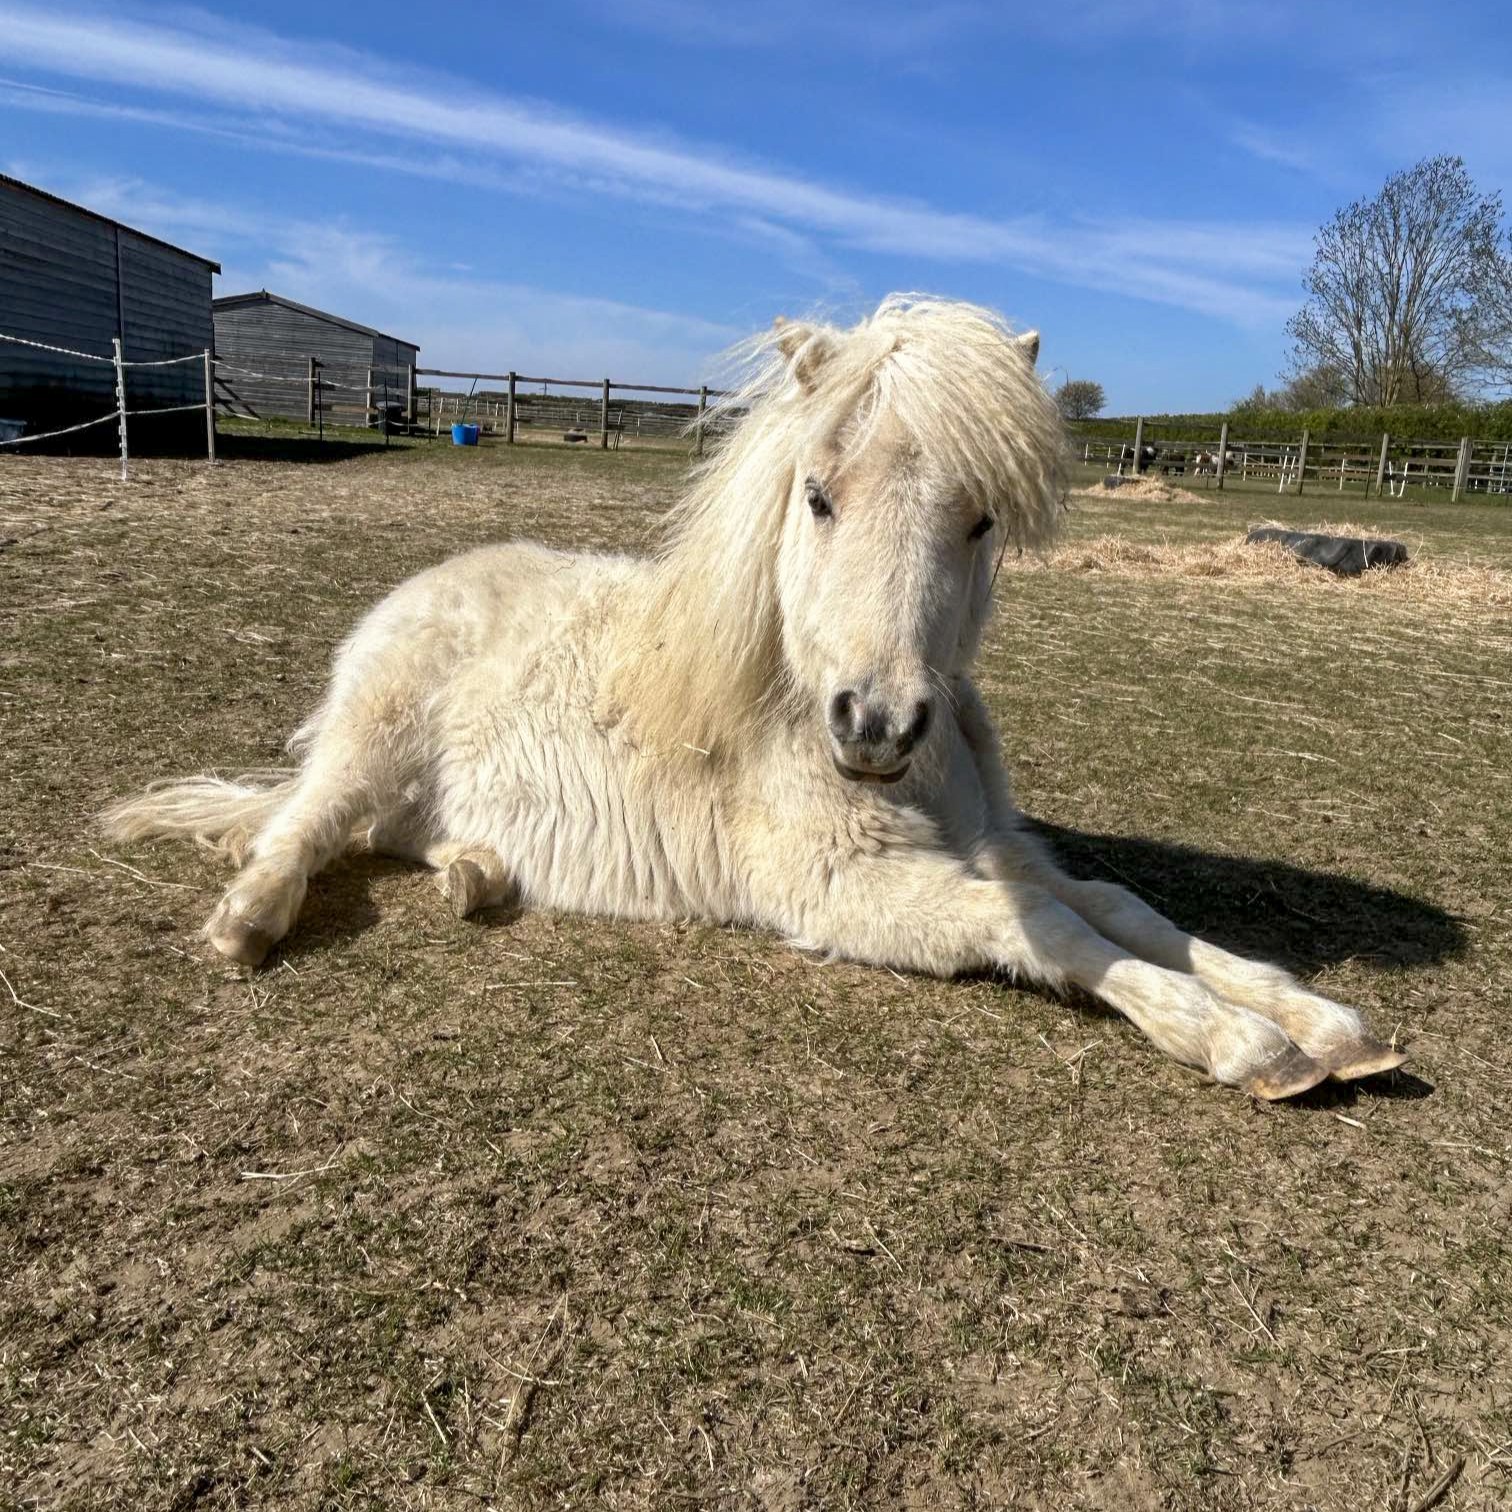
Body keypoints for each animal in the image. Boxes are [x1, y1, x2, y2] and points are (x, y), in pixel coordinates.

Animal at [104, 296, 1404, 1100]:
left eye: (982, 519)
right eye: (817, 496)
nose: (875, 726)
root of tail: (437, 578)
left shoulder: (1000, 846)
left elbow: (1119, 906)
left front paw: (1321, 1022)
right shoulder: (840, 889)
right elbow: (1054, 933)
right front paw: (1242, 1041)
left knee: (396, 838)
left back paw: (477, 877)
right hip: (370, 739)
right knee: (302, 826)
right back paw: (247, 923)